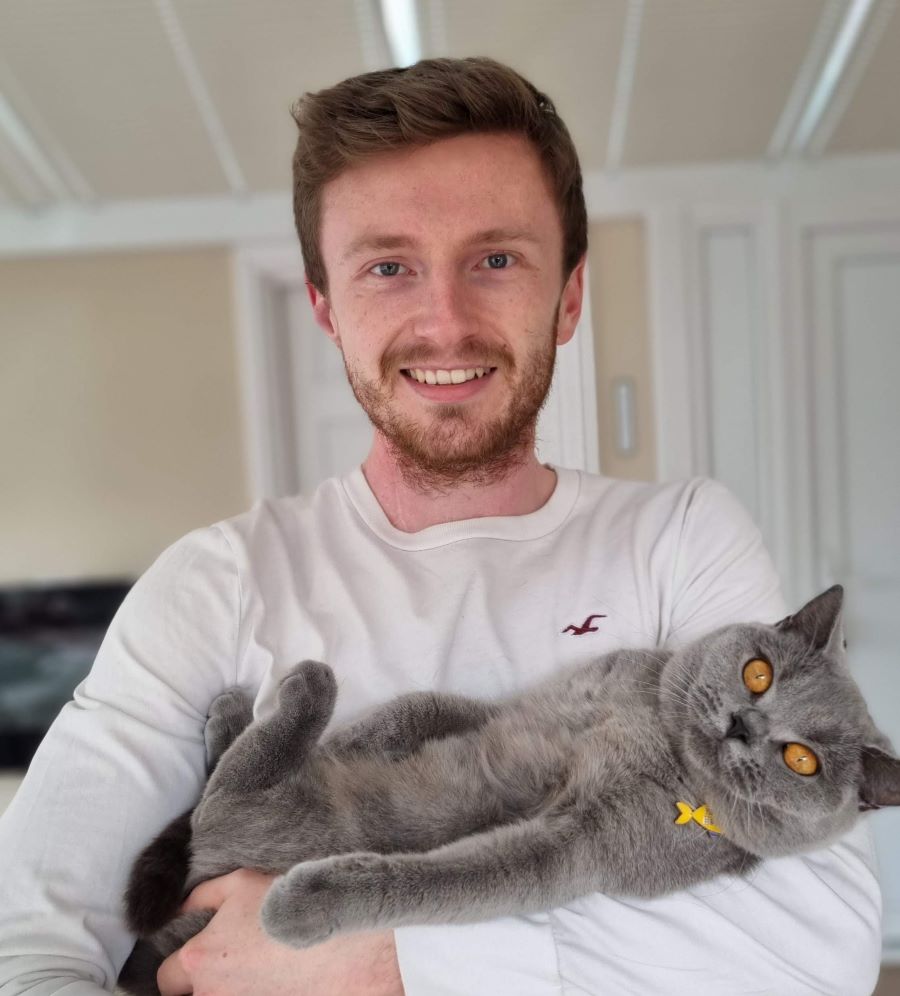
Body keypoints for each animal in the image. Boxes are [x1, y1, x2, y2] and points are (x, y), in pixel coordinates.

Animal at [119, 588, 900, 992]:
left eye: (801, 760)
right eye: (758, 672)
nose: (743, 724)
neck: (654, 731)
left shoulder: (573, 848)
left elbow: (440, 877)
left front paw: (300, 905)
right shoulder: (524, 707)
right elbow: (419, 709)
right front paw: (350, 743)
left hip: (250, 810)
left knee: (232, 784)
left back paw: (299, 692)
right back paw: (243, 713)